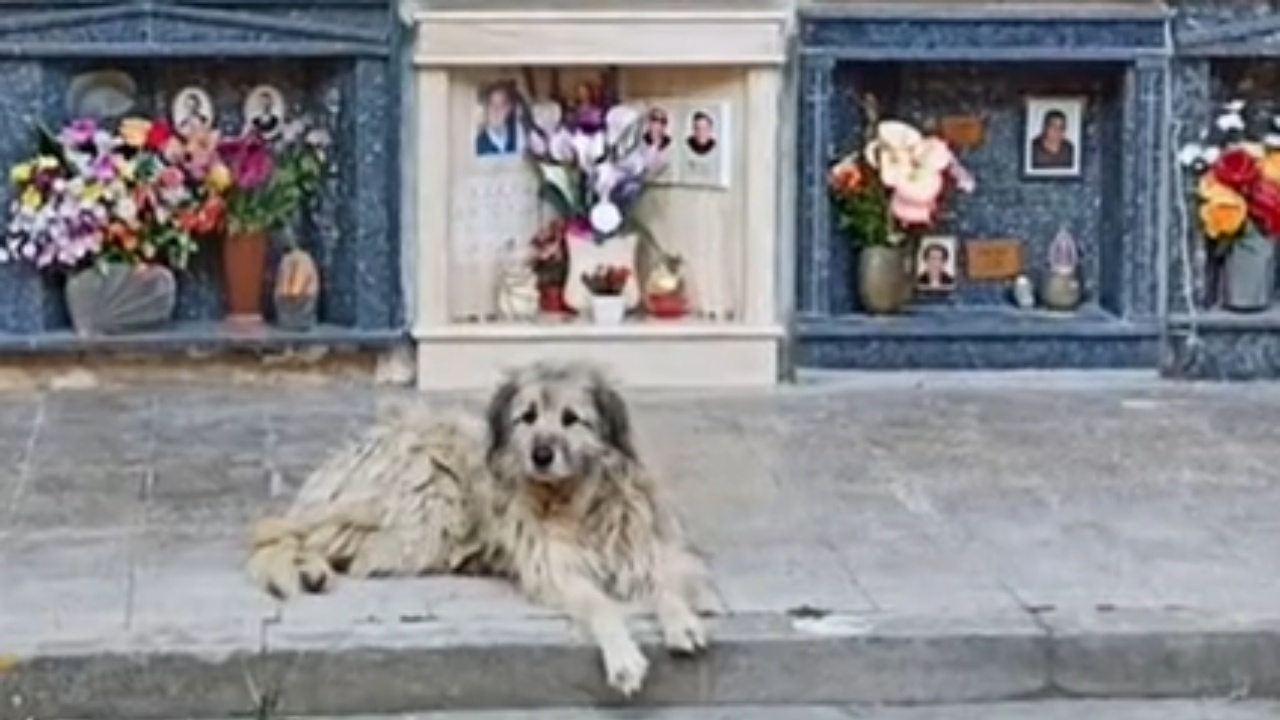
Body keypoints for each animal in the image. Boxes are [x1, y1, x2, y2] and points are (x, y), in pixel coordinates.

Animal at [244, 358, 716, 696]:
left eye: (571, 418)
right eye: (528, 416)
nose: (541, 455)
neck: (573, 501)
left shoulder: (649, 551)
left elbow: (666, 586)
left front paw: (684, 621)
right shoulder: (557, 571)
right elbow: (602, 606)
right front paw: (623, 659)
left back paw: (315, 570)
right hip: (420, 516)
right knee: (290, 536)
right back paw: (309, 567)